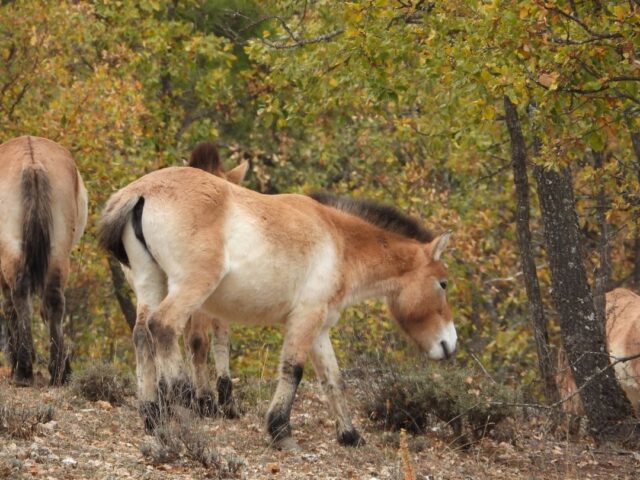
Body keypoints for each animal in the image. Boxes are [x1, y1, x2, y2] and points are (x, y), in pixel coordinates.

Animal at [0, 136, 88, 385]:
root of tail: (32, 163)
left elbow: (8, 307)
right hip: (58, 250)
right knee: (54, 301)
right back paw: (57, 371)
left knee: (20, 297)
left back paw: (24, 370)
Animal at [98, 167, 455, 449]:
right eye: (443, 283)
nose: (449, 344)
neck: (338, 240)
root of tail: (140, 192)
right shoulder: (305, 318)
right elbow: (293, 369)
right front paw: (280, 430)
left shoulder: (319, 327)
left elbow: (333, 379)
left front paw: (351, 435)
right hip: (190, 288)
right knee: (163, 327)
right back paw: (184, 400)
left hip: (150, 284)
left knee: (142, 337)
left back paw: (152, 417)